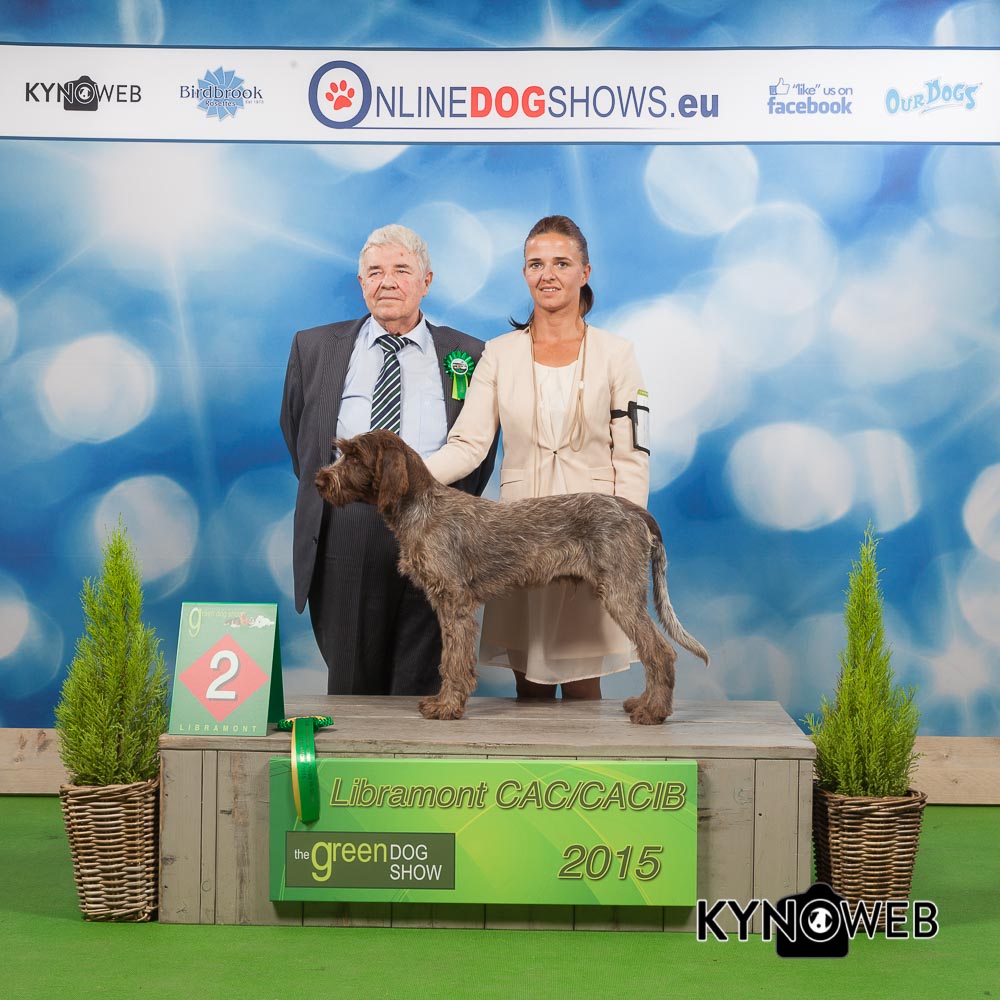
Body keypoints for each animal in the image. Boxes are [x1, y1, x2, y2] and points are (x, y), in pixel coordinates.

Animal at [315, 429, 709, 725]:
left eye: (354, 457)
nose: (319, 480)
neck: (420, 508)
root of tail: (632, 509)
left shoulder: (455, 603)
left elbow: (454, 660)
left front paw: (447, 706)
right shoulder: (445, 605)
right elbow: (448, 657)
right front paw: (446, 701)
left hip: (621, 594)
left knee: (660, 651)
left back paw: (653, 711)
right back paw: (643, 703)